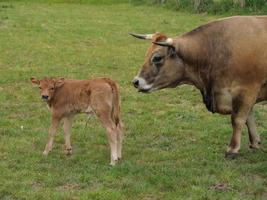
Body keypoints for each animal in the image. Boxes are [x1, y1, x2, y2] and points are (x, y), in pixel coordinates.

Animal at [131, 16, 267, 158]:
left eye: (157, 58)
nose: (136, 81)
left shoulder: (246, 90)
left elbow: (238, 119)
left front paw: (232, 149)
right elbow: (248, 118)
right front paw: (255, 142)